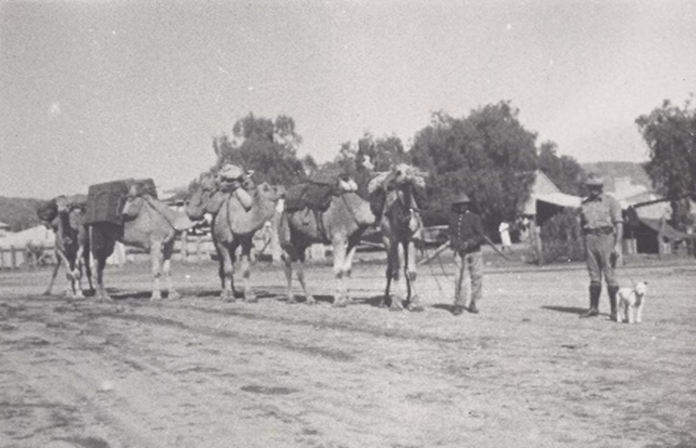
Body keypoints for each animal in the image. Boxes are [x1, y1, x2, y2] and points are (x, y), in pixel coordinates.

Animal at [372, 164, 426, 312]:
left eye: (411, 171)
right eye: (398, 172)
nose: (409, 178)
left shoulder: (412, 239)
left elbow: (411, 272)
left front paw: (415, 304)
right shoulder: (394, 240)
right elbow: (397, 271)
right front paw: (396, 304)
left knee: (405, 268)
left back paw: (407, 299)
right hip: (387, 242)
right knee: (390, 270)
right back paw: (384, 301)